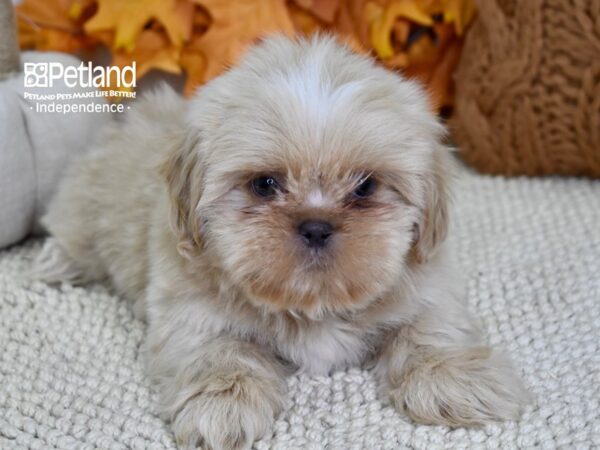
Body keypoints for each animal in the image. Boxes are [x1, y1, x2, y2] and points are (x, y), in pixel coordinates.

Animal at [37, 36, 528, 450]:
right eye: (264, 184)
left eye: (366, 186)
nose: (316, 225)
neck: (312, 304)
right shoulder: (189, 313)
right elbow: (220, 352)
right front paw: (224, 404)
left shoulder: (429, 287)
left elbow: (431, 330)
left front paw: (456, 380)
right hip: (85, 207)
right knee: (71, 232)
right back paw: (55, 264)